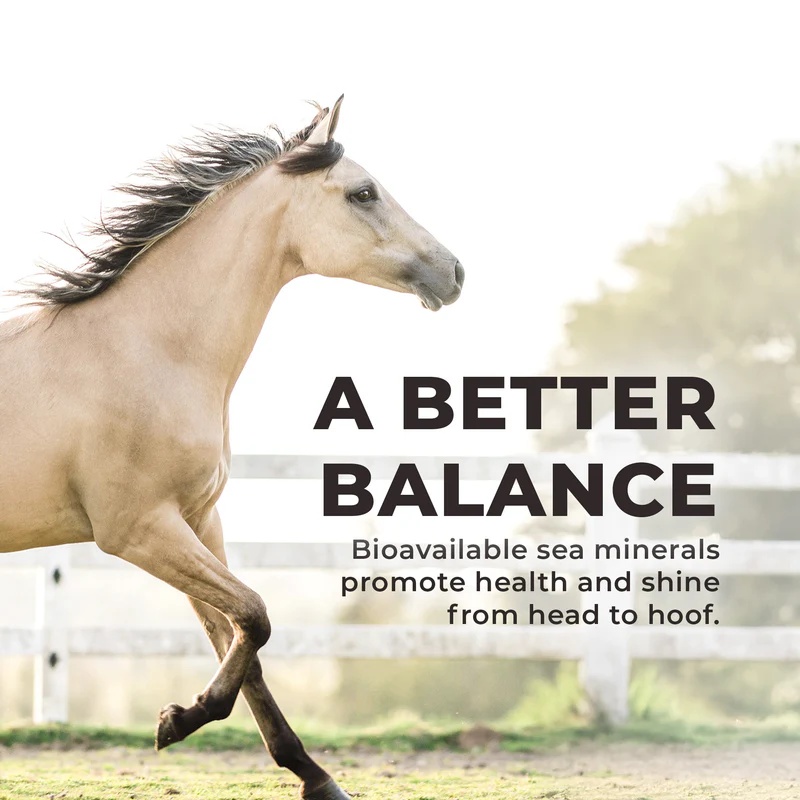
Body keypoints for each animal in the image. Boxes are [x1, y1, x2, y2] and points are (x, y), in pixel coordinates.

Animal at [0, 96, 463, 800]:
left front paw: (315, 776)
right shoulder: (140, 530)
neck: (148, 349)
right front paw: (179, 719)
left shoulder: (195, 520)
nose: (454, 271)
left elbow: (242, 642)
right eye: (363, 192)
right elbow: (257, 615)